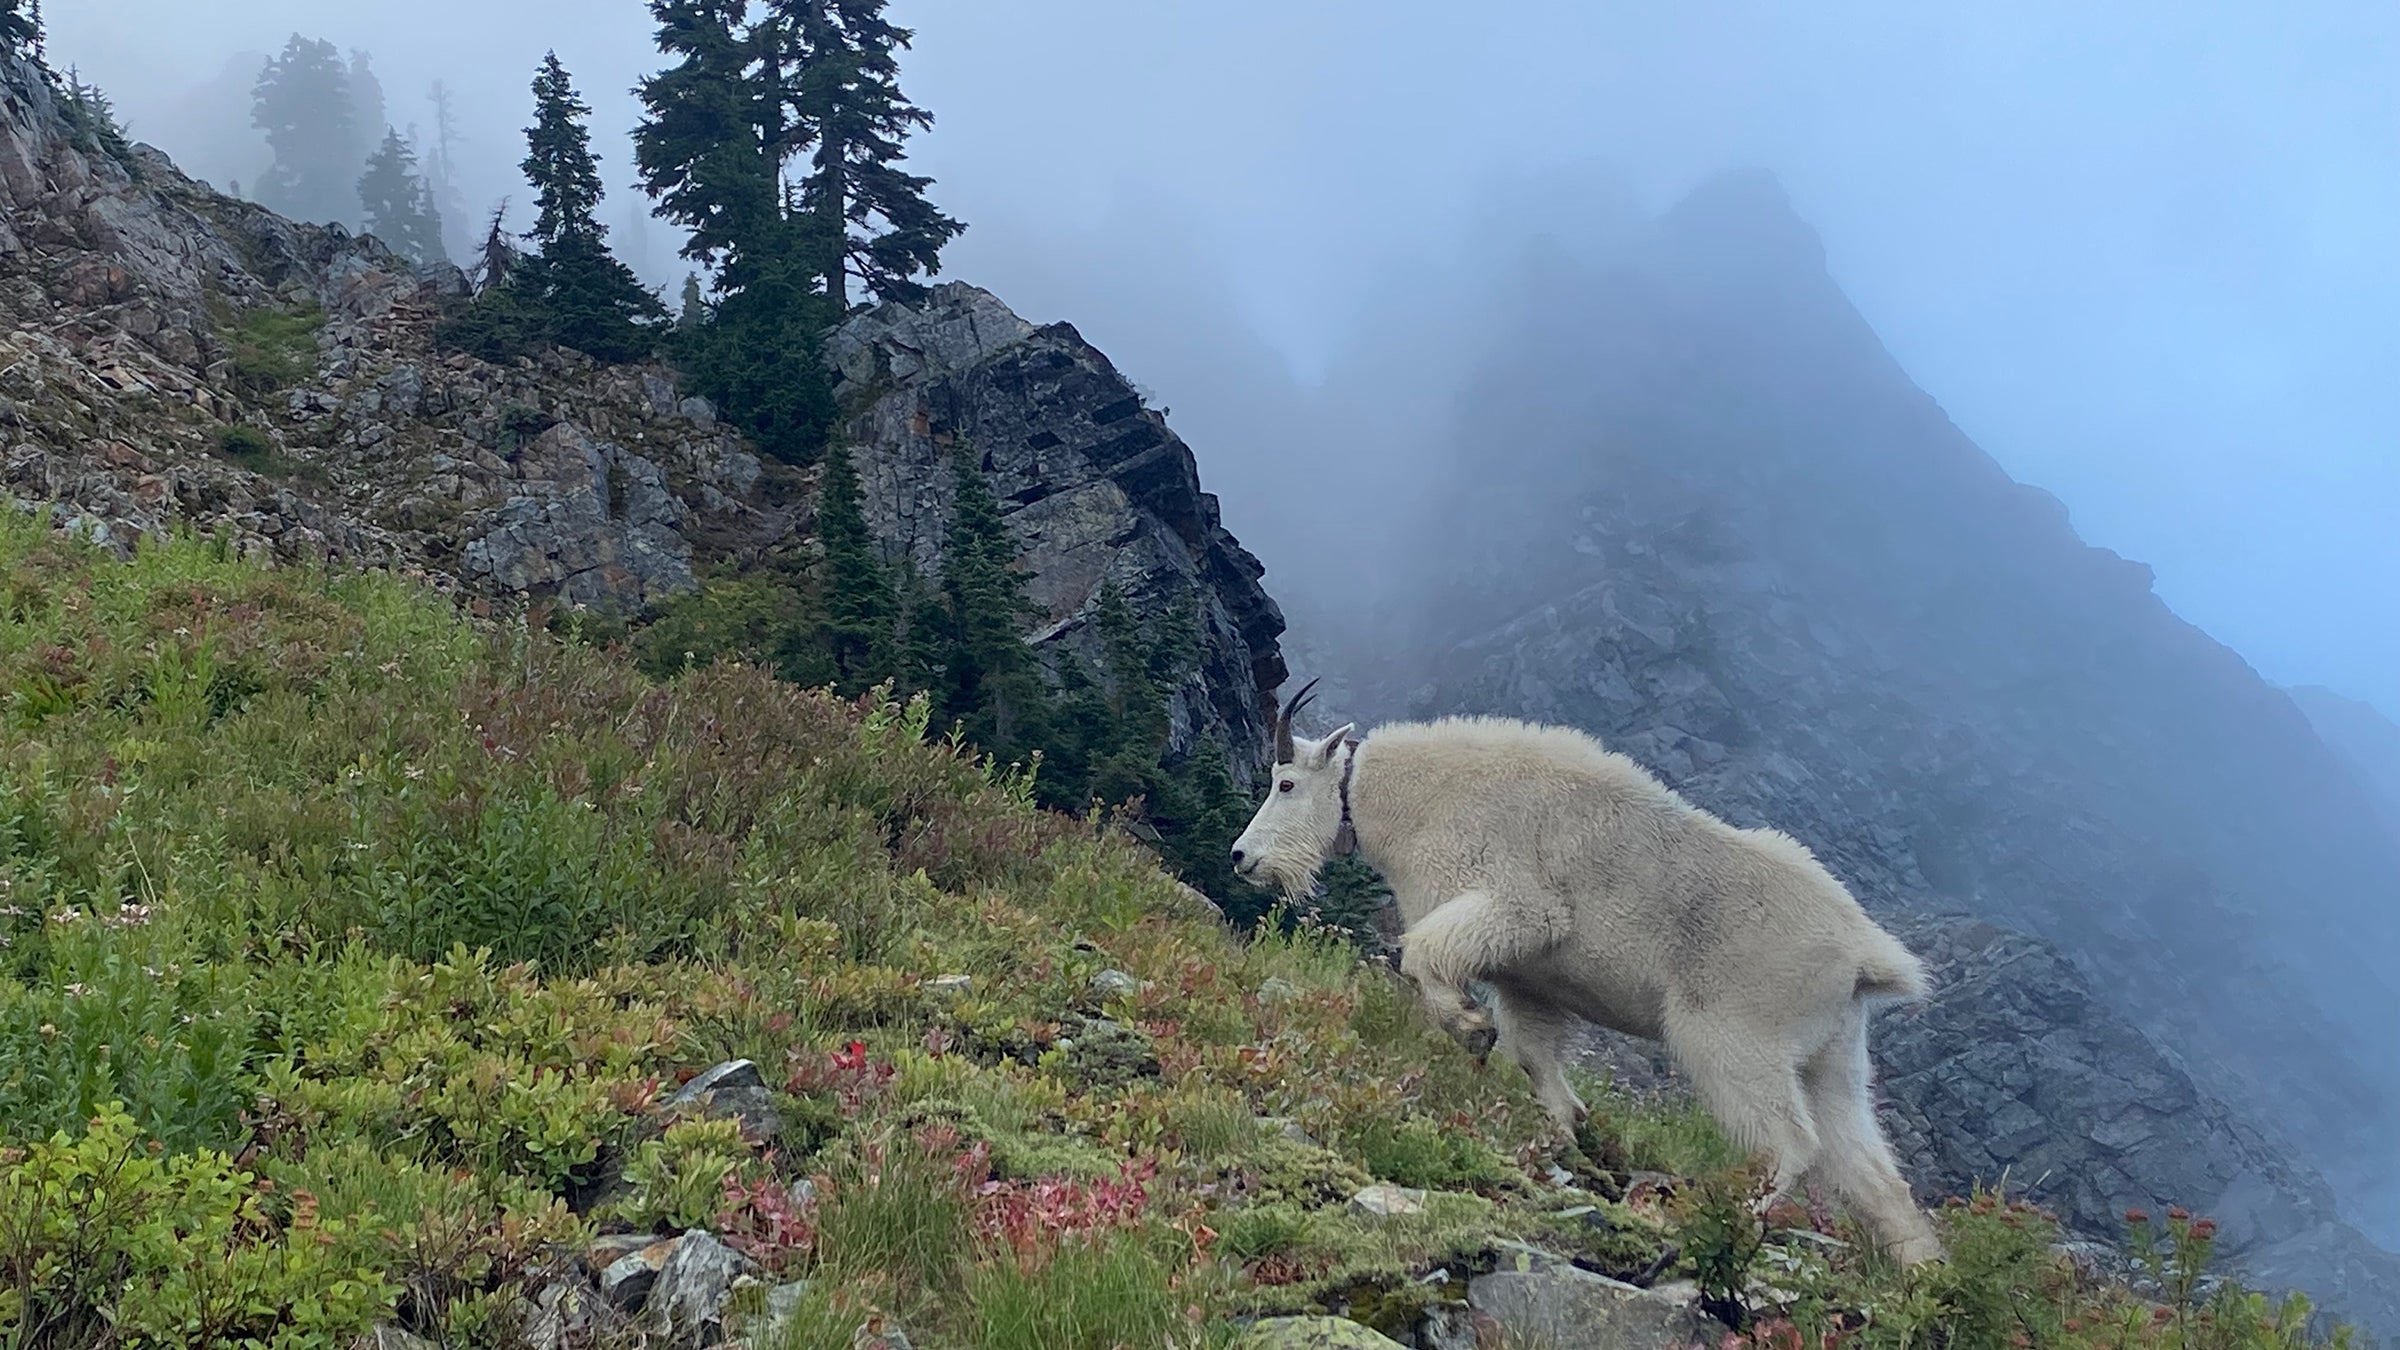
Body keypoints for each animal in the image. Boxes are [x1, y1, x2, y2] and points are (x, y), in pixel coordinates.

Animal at [1238, 677, 1948, 1268]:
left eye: (1286, 784)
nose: (1243, 857)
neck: (1417, 802)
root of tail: (1864, 957)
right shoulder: (1528, 980)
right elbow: (1533, 1054)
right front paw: (1566, 1126)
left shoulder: (1516, 909)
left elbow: (1424, 957)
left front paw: (1470, 1026)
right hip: (1833, 1058)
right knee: (1872, 1176)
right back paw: (1919, 1277)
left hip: (1735, 1037)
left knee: (1789, 1143)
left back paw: (1719, 1225)